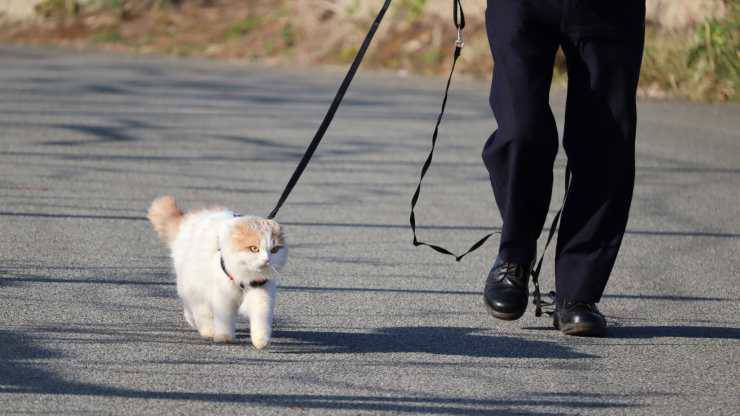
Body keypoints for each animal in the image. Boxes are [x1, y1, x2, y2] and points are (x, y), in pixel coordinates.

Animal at [146, 197, 284, 350]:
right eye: (254, 249)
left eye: (274, 250)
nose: (267, 260)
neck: (245, 277)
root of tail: (187, 221)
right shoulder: (223, 297)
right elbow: (224, 320)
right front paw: (224, 337)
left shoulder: (261, 293)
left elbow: (261, 319)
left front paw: (261, 340)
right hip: (194, 284)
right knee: (197, 309)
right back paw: (206, 329)